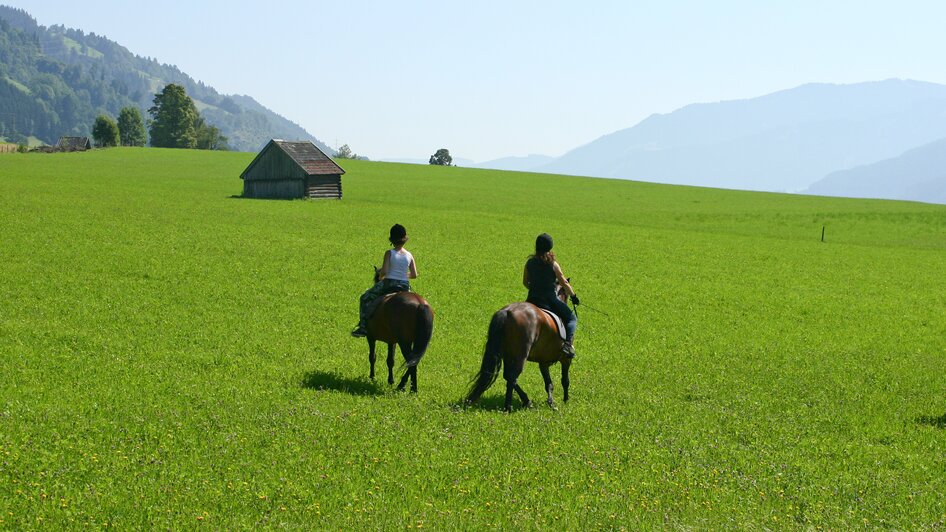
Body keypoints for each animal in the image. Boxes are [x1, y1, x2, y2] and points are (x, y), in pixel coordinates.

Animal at [462, 282, 568, 412]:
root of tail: (506, 312)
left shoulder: (543, 362)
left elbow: (549, 383)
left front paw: (551, 402)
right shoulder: (566, 359)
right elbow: (564, 380)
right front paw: (564, 400)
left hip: (508, 354)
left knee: (508, 376)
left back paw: (525, 401)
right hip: (520, 355)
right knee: (512, 377)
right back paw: (508, 406)